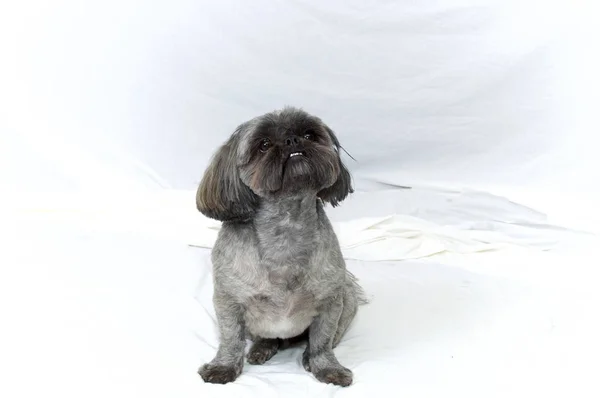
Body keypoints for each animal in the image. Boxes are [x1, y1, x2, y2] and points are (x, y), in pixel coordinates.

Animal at [197, 105, 366, 386]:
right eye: (264, 144)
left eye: (309, 134)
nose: (293, 140)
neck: (286, 227)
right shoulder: (228, 301)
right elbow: (230, 339)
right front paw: (223, 366)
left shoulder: (331, 301)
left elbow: (322, 341)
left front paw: (327, 367)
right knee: (267, 339)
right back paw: (261, 348)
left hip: (349, 297)